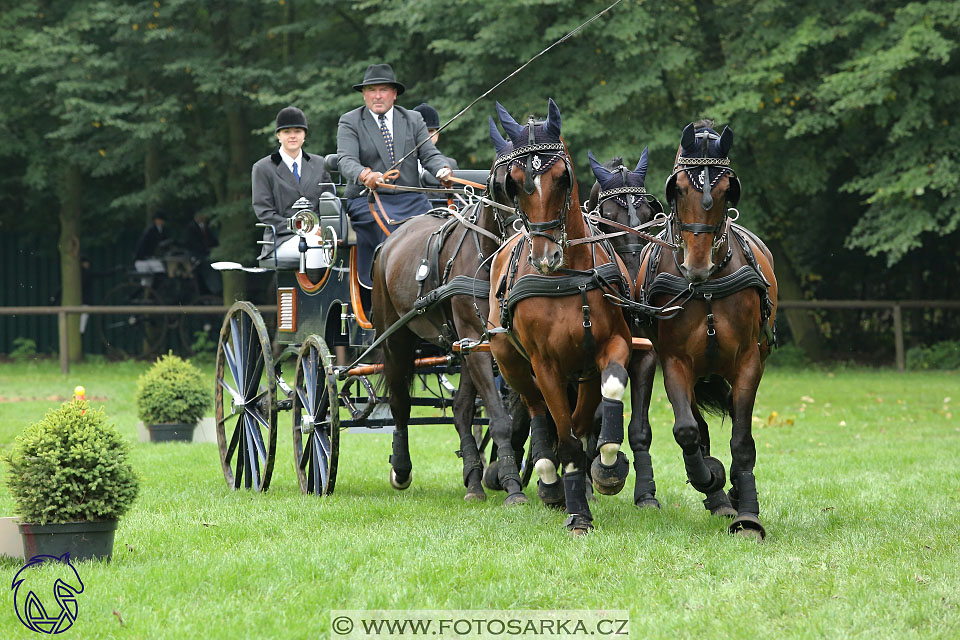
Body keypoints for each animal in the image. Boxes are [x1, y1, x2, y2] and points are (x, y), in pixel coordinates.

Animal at [372, 151, 528, 504]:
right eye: (507, 184)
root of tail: (389, 242)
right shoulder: (475, 341)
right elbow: (499, 417)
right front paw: (512, 484)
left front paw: (500, 474)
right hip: (396, 339)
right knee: (400, 403)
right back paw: (401, 467)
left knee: (460, 408)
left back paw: (473, 481)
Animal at [488, 97, 636, 532]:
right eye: (514, 181)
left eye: (561, 177)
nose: (545, 256)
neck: (566, 277)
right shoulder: (546, 364)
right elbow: (565, 436)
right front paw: (577, 513)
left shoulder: (610, 346)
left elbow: (607, 395)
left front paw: (607, 469)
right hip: (511, 362)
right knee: (539, 412)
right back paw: (549, 478)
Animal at [636, 121, 780, 540]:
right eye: (679, 188)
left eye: (726, 188)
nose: (695, 266)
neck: (707, 287)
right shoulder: (674, 361)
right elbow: (687, 431)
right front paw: (710, 478)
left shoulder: (749, 362)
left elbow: (743, 440)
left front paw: (748, 513)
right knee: (697, 428)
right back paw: (716, 492)